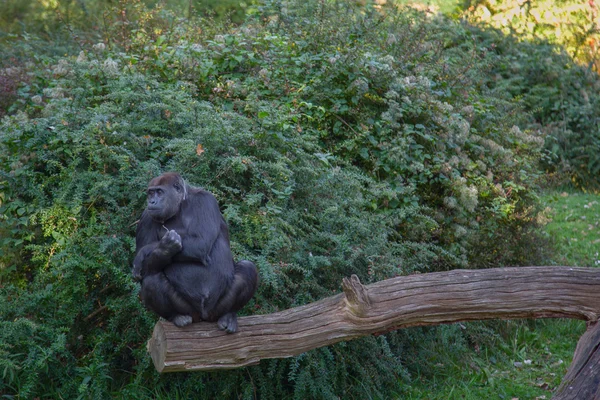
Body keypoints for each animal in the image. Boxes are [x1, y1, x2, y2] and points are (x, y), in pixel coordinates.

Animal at [132, 172, 258, 332]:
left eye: (159, 192)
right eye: (150, 193)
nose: (152, 201)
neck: (180, 206)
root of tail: (204, 316)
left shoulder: (206, 200)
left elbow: (201, 243)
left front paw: (148, 250)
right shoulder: (146, 218)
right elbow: (146, 270)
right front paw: (164, 248)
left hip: (216, 309)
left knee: (248, 268)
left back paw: (229, 314)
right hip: (191, 312)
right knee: (151, 280)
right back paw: (177, 316)